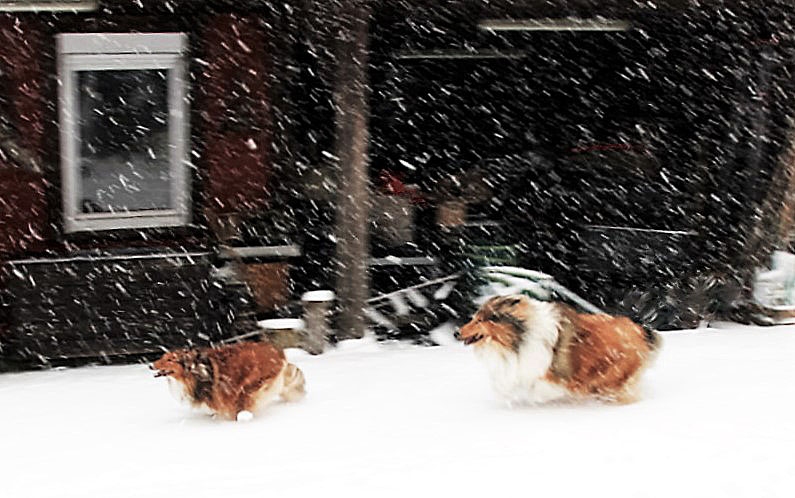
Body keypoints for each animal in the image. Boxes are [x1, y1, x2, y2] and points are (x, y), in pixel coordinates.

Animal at [152, 342, 304, 420]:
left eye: (170, 359)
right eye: (162, 357)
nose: (150, 365)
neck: (194, 370)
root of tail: (278, 352)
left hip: (250, 385)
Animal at [458, 296, 664, 404]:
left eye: (480, 320)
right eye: (474, 318)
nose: (456, 333)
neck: (520, 335)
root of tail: (641, 330)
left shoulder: (549, 376)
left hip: (612, 374)